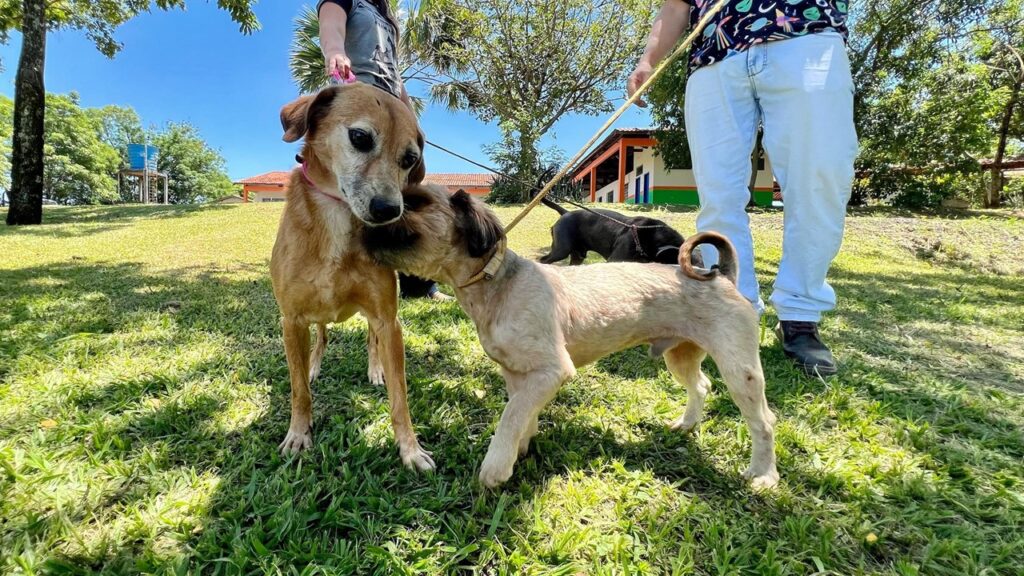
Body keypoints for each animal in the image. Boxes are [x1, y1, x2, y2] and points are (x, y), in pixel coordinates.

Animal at [270, 85, 434, 471]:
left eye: (410, 159)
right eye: (360, 138)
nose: (390, 211)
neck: (337, 218)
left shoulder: (388, 319)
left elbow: (400, 397)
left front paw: (410, 449)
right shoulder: (291, 319)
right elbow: (298, 390)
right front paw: (298, 433)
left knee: (370, 341)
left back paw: (375, 370)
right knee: (321, 338)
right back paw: (314, 365)